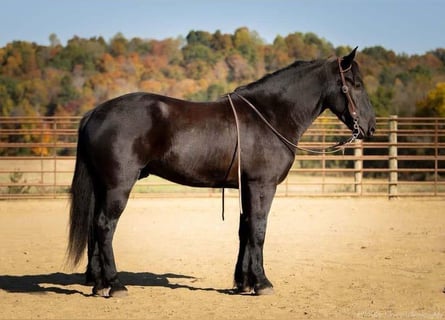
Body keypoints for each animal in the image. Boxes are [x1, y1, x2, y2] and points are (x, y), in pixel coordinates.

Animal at [67, 48, 374, 298]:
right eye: (356, 85)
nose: (370, 127)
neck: (270, 115)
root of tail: (96, 112)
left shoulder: (246, 187)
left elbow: (245, 229)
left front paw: (244, 282)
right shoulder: (262, 186)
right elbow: (259, 229)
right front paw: (262, 283)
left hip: (103, 186)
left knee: (95, 228)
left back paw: (99, 285)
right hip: (118, 186)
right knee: (105, 226)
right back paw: (116, 284)